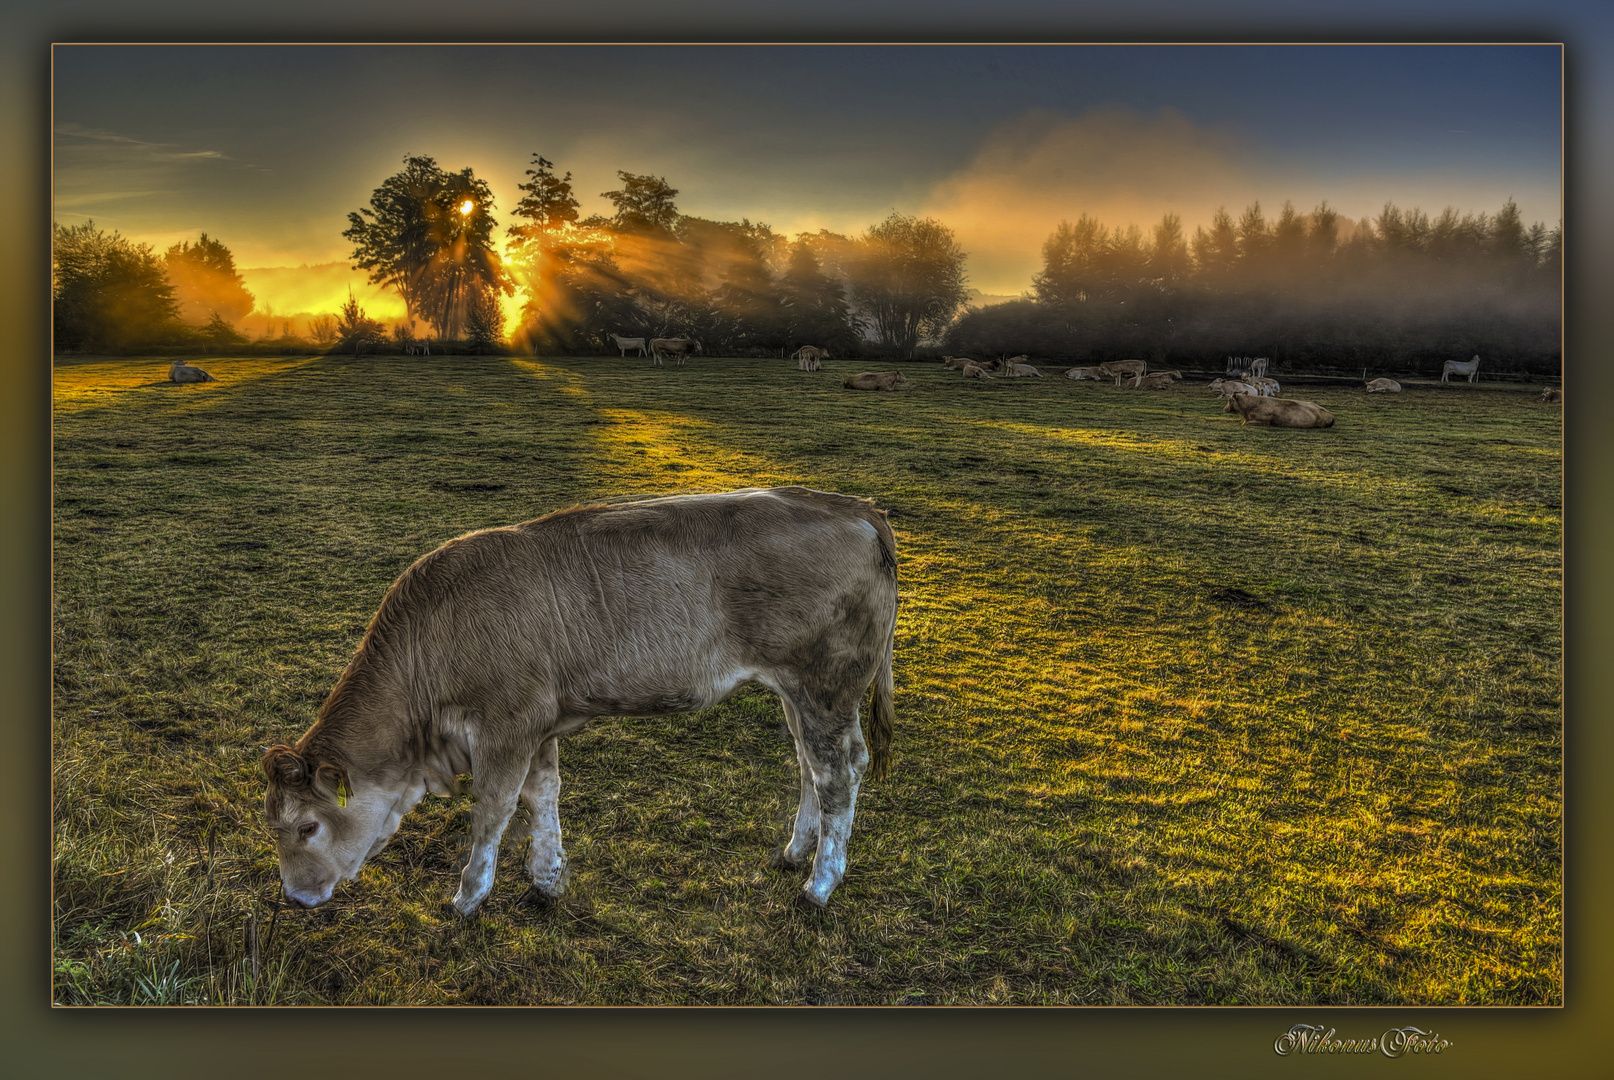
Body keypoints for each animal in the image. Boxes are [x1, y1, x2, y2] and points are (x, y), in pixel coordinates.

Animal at [258, 484, 903, 916]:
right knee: (813, 766)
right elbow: (541, 798)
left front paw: (467, 896)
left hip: (826, 684)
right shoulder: (535, 727)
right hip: (799, 691)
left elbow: (492, 811)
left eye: (309, 827)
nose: (293, 896)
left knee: (839, 773)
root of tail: (853, 506)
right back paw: (795, 851)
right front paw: (548, 878)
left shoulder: (505, 727)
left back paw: (820, 884)